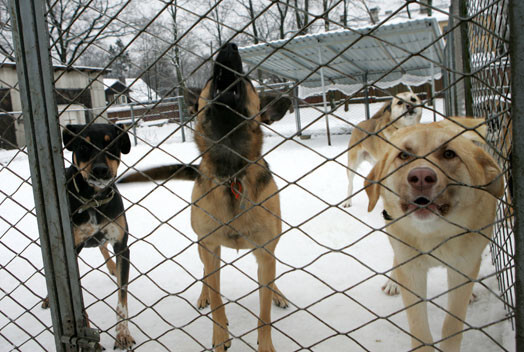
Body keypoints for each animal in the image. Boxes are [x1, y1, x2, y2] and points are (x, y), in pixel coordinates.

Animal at [42, 123, 135, 350]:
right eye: (83, 146)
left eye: (112, 144)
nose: (100, 170)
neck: (94, 200)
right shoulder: (71, 252)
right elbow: (78, 302)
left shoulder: (122, 245)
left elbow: (122, 298)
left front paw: (123, 334)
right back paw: (49, 298)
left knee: (102, 246)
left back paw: (112, 268)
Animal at [119, 42, 290, 350]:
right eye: (211, 80)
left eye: (247, 81)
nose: (229, 47)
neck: (230, 172)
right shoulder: (210, 247)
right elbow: (218, 298)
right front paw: (220, 335)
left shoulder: (264, 251)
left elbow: (264, 313)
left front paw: (266, 342)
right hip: (203, 245)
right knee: (208, 278)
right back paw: (204, 295)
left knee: (268, 281)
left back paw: (277, 293)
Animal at [364, 122, 504, 350]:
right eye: (404, 155)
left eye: (449, 154)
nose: (421, 177)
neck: (434, 235)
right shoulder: (412, 270)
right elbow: (419, 329)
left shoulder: (463, 268)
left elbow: (452, 325)